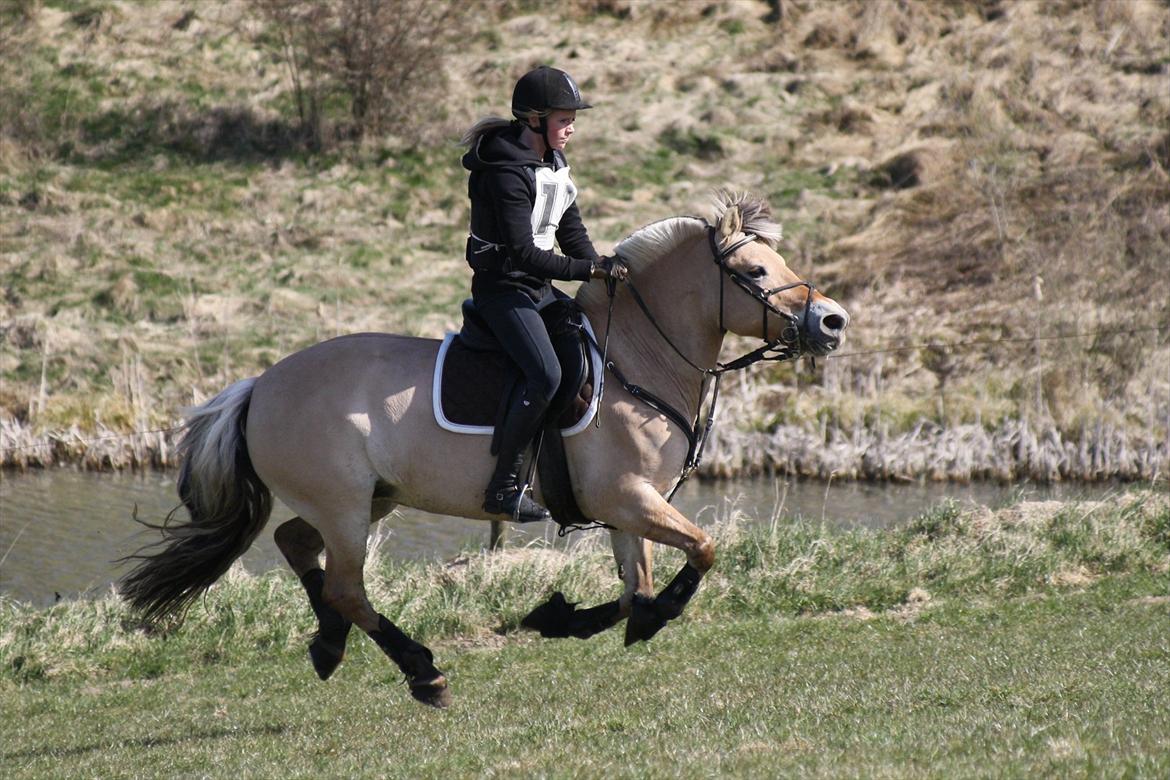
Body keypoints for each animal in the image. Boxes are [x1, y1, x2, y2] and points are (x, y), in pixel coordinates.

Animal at [119, 191, 849, 708]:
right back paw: (421, 672)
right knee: (347, 585)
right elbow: (699, 554)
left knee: (298, 545)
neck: (637, 358)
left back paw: (328, 645)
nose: (833, 321)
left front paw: (561, 620)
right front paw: (617, 622)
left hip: (367, 500)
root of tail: (260, 385)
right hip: (347, 506)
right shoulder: (624, 497)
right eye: (755, 271)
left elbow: (638, 588)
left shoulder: (628, 508)